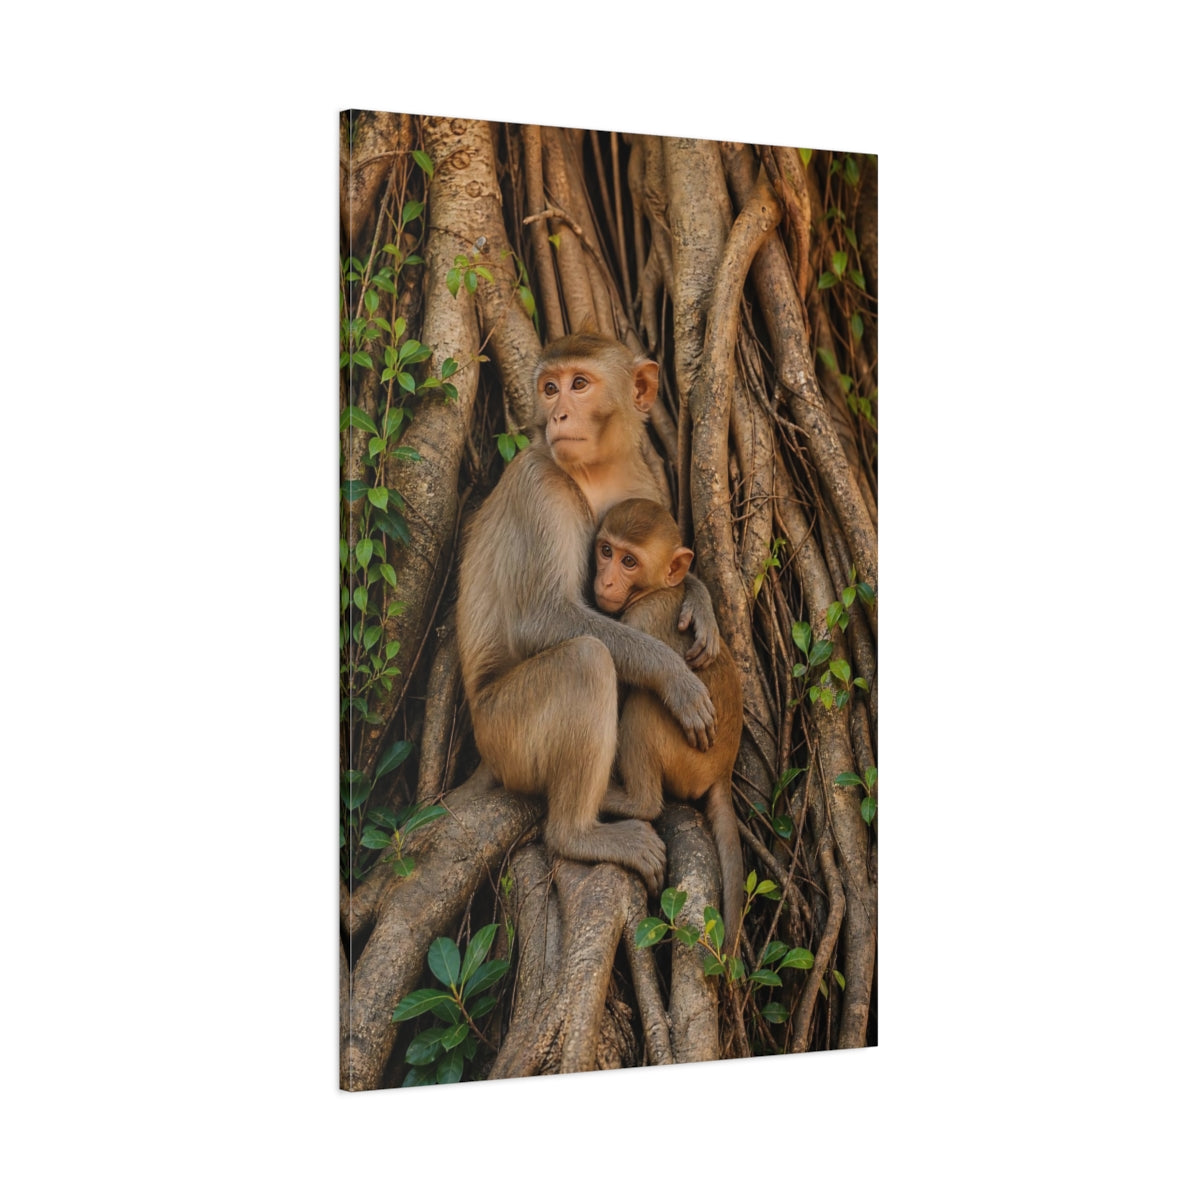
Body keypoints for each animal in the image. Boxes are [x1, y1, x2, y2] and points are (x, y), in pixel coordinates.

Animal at [456, 332, 720, 896]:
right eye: (549, 388)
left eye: (579, 384)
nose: (557, 414)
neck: (594, 473)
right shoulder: (540, 485)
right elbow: (542, 619)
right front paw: (674, 676)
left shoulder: (645, 480)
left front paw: (699, 600)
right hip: (503, 732)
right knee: (585, 660)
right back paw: (578, 834)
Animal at [593, 498, 745, 952]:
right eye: (605, 551)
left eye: (628, 561)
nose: (605, 579)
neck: (657, 590)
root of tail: (723, 771)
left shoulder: (640, 617)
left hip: (688, 758)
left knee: (645, 703)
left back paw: (634, 803)